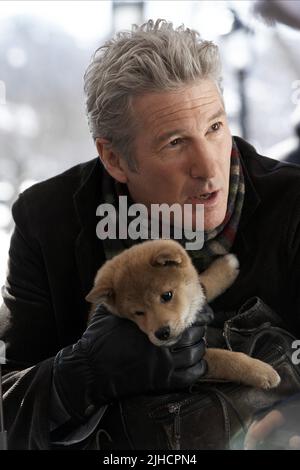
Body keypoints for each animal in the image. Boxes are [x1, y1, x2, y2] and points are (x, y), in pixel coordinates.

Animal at [85, 239, 280, 390]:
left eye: (167, 295)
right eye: (138, 313)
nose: (162, 333)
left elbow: (205, 282)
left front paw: (226, 267)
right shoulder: (195, 360)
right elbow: (225, 359)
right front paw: (259, 371)